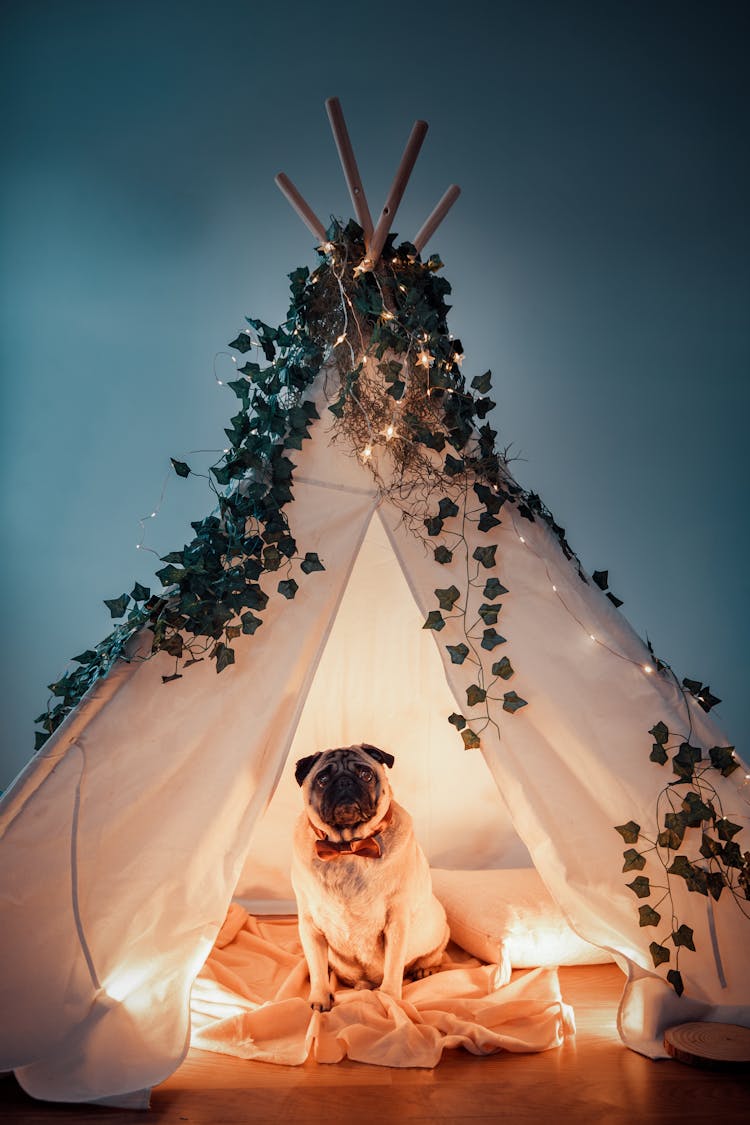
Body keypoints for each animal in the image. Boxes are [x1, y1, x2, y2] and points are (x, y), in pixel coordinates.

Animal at [292, 742, 445, 1017]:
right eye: (322, 779)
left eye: (366, 774)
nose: (344, 782)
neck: (348, 848)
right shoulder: (309, 926)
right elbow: (317, 969)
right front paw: (320, 998)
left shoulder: (397, 922)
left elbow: (393, 968)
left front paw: (390, 999)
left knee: (435, 956)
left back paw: (424, 969)